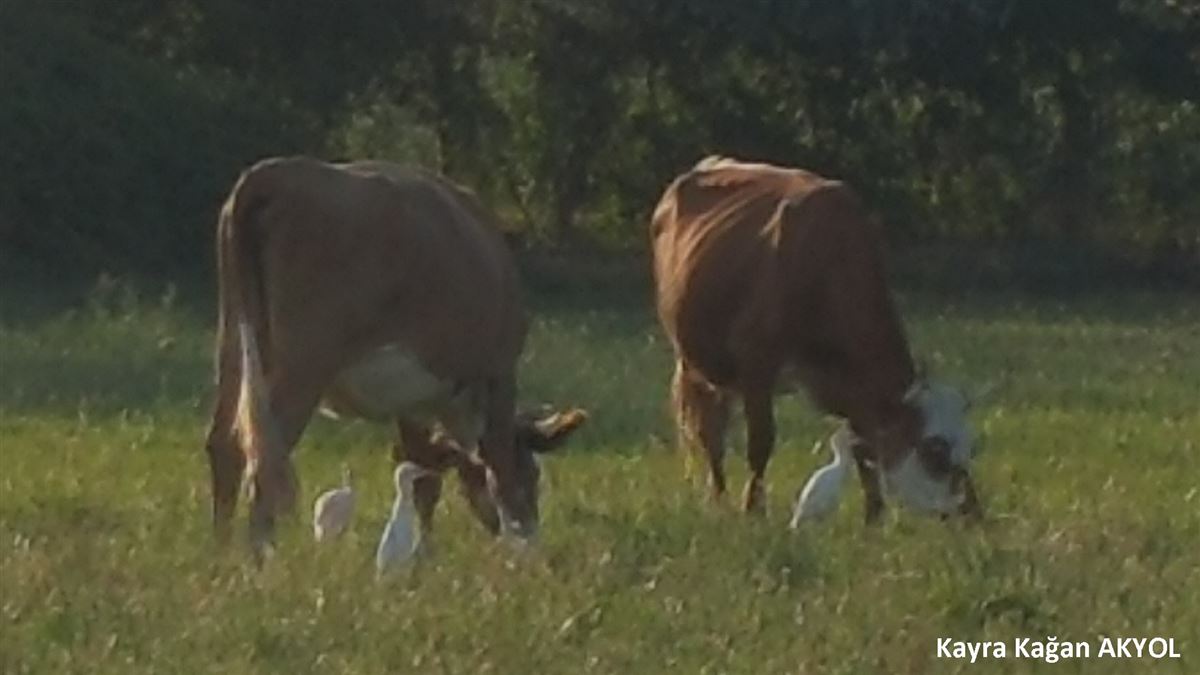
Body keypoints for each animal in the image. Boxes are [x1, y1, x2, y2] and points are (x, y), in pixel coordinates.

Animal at [203, 157, 585, 556]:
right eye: (534, 474)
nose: (531, 532)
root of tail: (276, 171)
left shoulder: (413, 398)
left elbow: (422, 475)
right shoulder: (497, 374)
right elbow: (496, 470)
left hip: (233, 338)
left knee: (225, 445)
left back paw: (221, 552)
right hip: (304, 362)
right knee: (264, 457)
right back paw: (260, 560)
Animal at [650, 156, 981, 522]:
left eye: (971, 447)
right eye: (934, 452)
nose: (973, 513)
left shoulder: (853, 386)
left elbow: (864, 449)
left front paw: (874, 516)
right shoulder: (757, 364)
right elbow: (760, 443)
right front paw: (754, 510)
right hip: (694, 362)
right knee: (711, 434)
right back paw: (721, 500)